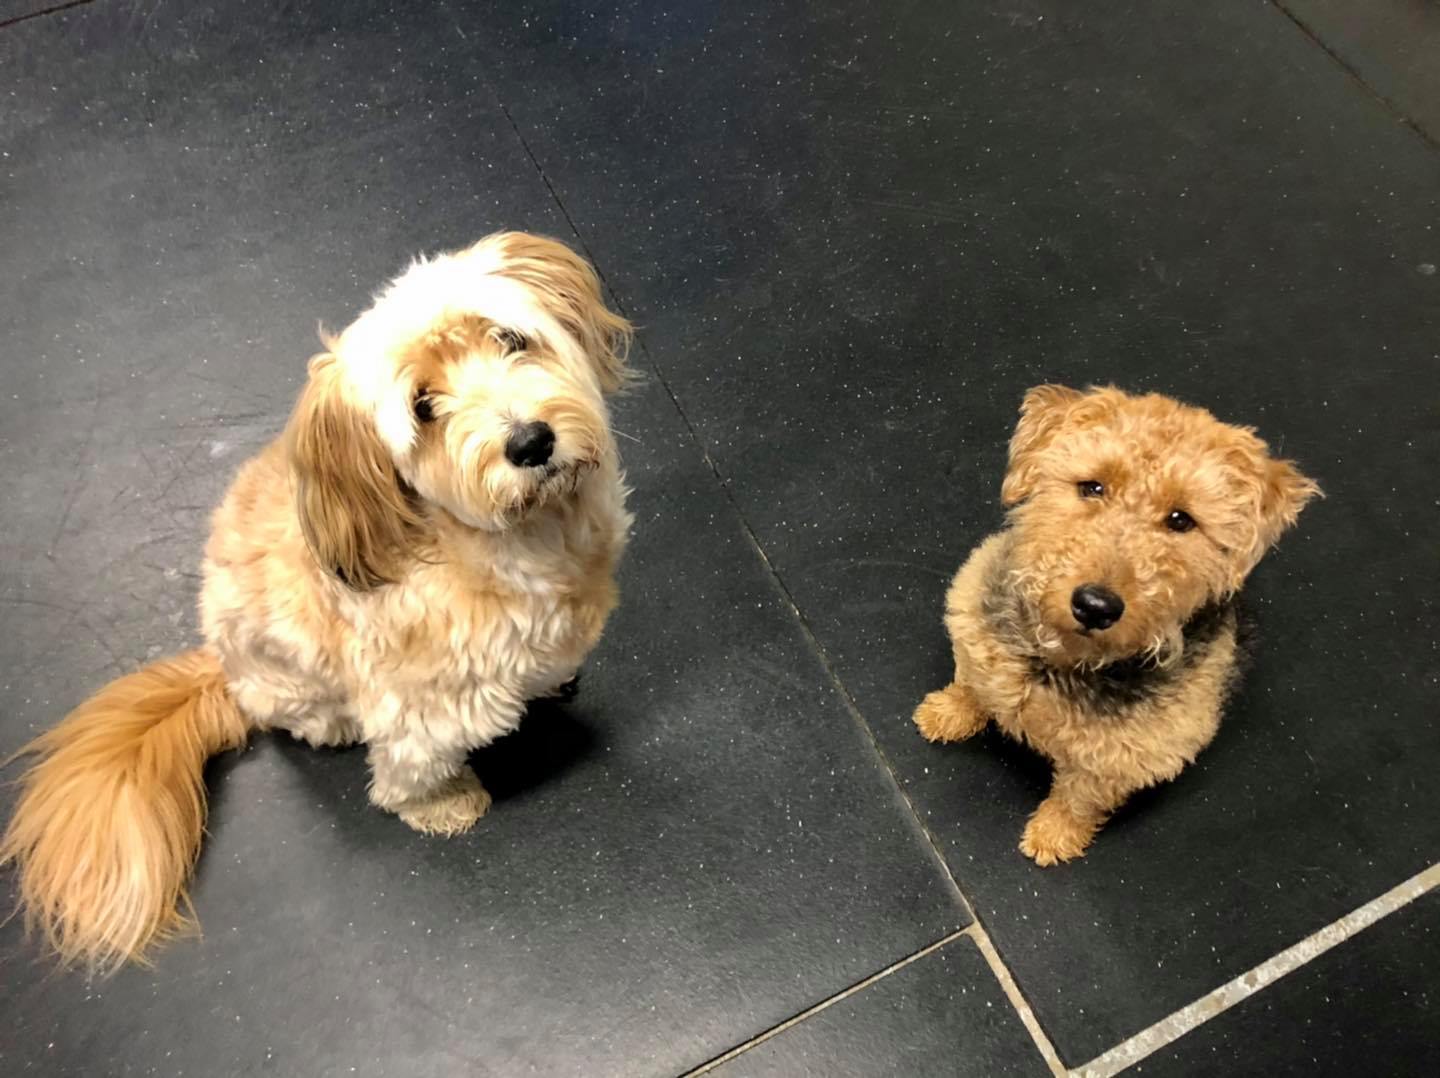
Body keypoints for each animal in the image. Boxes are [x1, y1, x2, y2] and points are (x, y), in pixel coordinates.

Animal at [1, 232, 633, 970]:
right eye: (422, 406)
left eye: (509, 338)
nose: (530, 442)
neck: (523, 538)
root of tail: (220, 670)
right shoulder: (415, 706)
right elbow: (410, 769)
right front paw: (442, 805)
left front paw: (553, 681)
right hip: (303, 695)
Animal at [913, 385, 1318, 865]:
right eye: (1093, 486)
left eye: (1181, 519)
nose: (1095, 606)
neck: (1058, 664)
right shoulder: (977, 631)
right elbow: (973, 683)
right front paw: (944, 714)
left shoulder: (1121, 759)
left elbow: (1077, 799)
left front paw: (1052, 838)